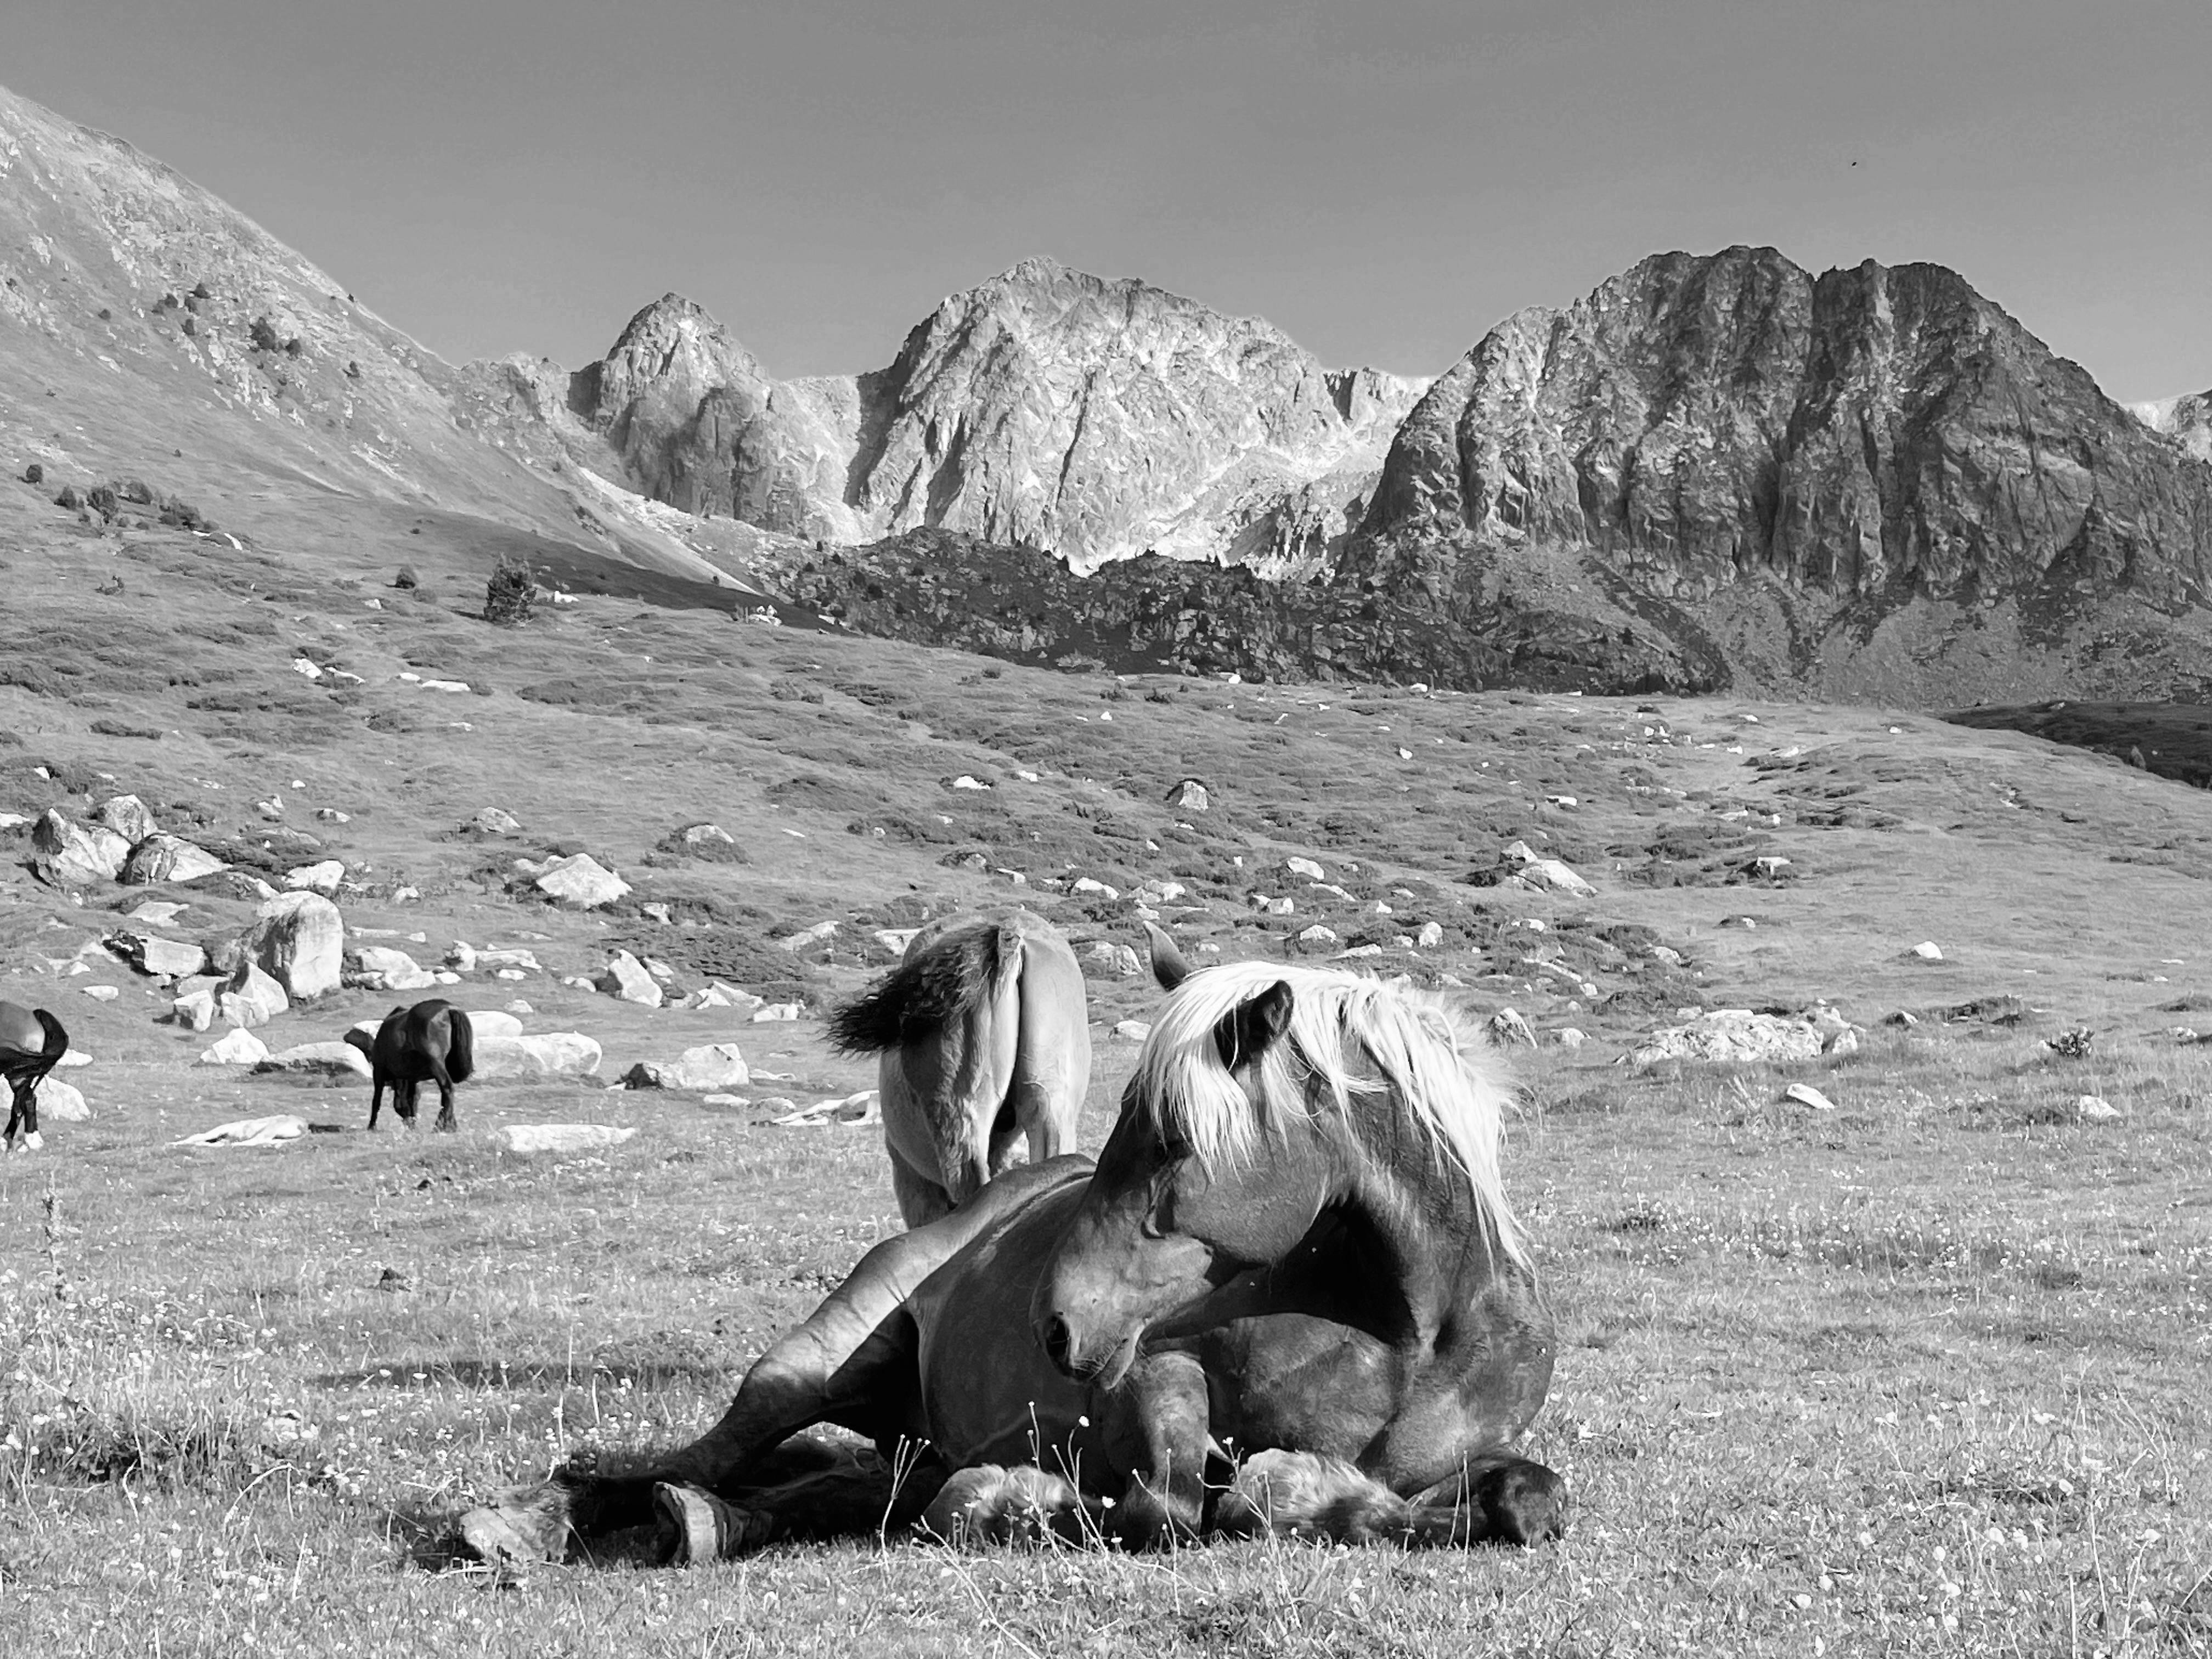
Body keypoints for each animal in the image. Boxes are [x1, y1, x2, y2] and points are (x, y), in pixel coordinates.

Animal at [342, 995, 477, 1141]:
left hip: (436, 1065)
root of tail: (449, 1009)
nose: (410, 1125)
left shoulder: (379, 1071)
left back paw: (439, 1126)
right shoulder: (412, 1078)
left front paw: (372, 1126)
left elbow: (377, 1100)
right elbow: (413, 1099)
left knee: (447, 1089)